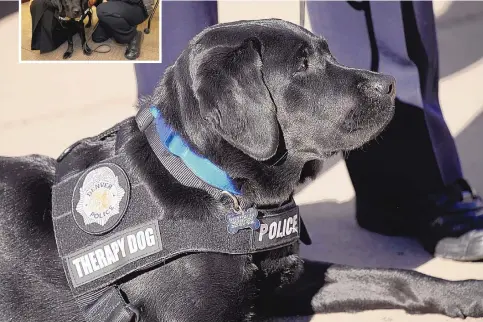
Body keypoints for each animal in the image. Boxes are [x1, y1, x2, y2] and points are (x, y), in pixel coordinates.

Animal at [2, 19, 483, 322]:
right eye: (302, 66)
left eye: (327, 54)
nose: (390, 85)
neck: (217, 189)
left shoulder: (284, 279)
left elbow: (389, 276)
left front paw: (462, 291)